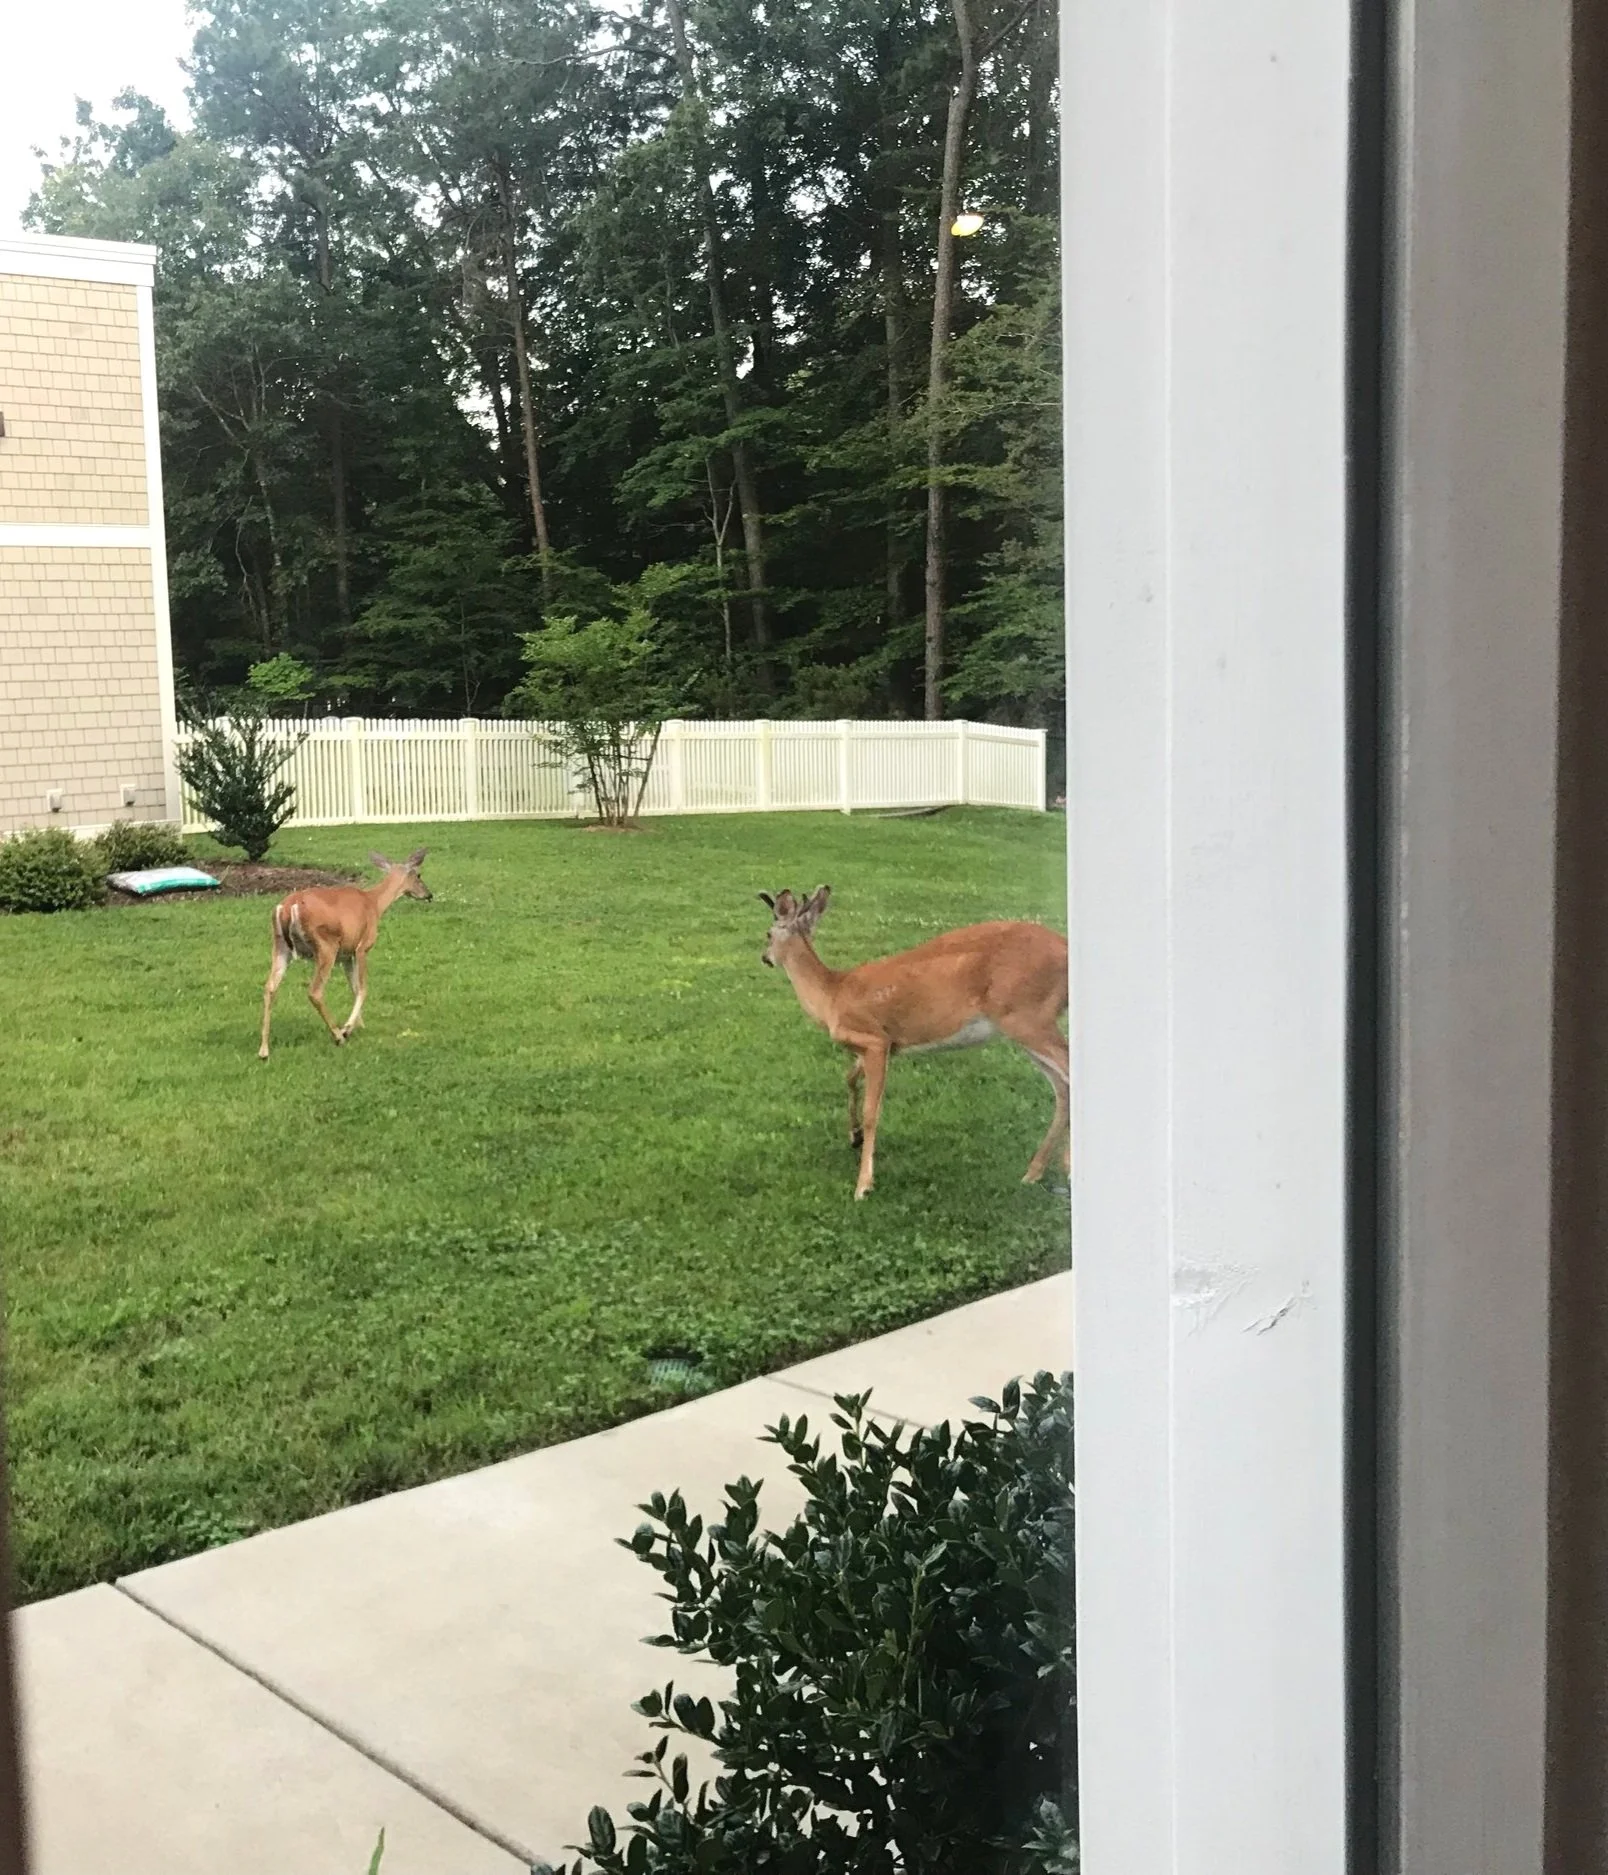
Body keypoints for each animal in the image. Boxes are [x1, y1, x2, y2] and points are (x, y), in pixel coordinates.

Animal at [259, 849, 431, 1060]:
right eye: (419, 875)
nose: (429, 894)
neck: (374, 904)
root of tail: (288, 907)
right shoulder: (362, 947)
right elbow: (363, 988)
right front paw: (348, 1028)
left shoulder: (346, 955)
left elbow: (354, 987)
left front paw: (359, 1025)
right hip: (326, 945)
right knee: (315, 991)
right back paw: (338, 1035)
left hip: (280, 946)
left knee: (269, 988)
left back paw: (264, 1050)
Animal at [758, 886, 1069, 1200]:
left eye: (768, 934)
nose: (765, 958)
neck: (832, 996)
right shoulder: (878, 1047)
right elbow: (849, 1078)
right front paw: (854, 1136)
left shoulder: (875, 1040)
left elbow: (872, 1112)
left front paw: (863, 1185)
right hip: (1023, 1027)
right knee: (1061, 1087)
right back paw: (1037, 1172)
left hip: (1029, 1017)